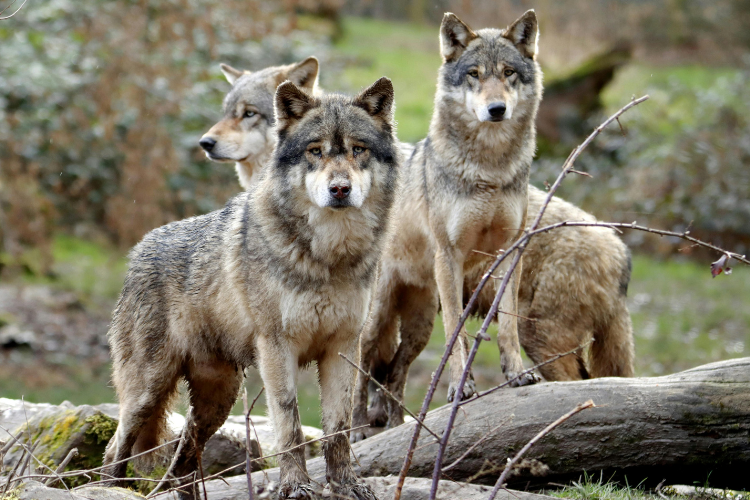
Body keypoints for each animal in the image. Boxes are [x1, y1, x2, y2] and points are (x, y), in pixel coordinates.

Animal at [102, 77, 400, 500]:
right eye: (315, 151)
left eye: (358, 149)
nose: (340, 189)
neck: (327, 256)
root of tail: (138, 249)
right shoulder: (277, 348)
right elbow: (290, 425)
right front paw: (296, 485)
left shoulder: (342, 347)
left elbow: (338, 430)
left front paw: (346, 485)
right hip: (147, 392)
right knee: (116, 449)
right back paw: (112, 488)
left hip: (217, 400)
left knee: (182, 462)